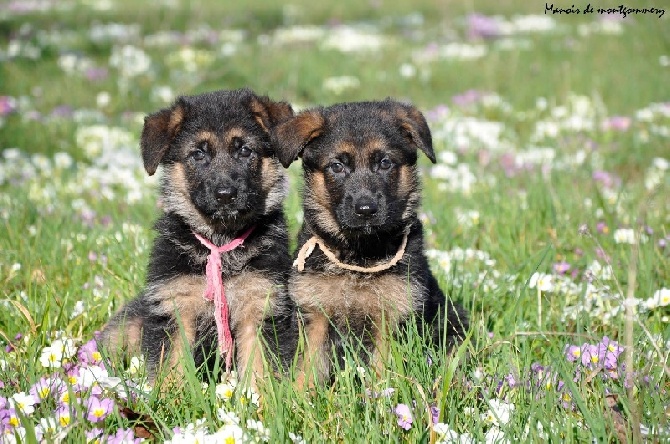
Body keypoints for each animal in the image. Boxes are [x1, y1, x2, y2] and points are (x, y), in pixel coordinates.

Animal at [99, 87, 296, 388]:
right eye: (198, 154)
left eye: (244, 150)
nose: (225, 194)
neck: (219, 243)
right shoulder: (176, 306)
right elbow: (172, 363)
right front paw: (170, 396)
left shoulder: (259, 306)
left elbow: (258, 365)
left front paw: (258, 397)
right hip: (127, 327)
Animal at [270, 99, 470, 386]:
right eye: (337, 166)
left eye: (385, 163)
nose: (366, 209)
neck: (359, 256)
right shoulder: (313, 314)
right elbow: (306, 367)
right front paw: (298, 396)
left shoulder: (390, 316)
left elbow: (381, 369)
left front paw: (379, 395)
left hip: (451, 320)